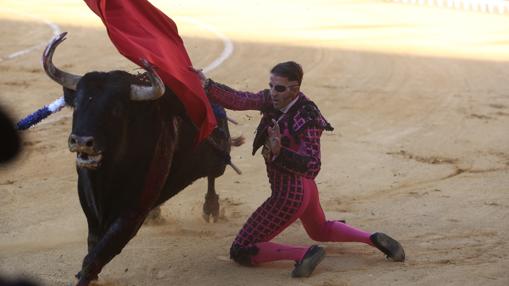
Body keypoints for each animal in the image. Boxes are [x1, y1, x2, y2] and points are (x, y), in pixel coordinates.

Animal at [42, 32, 241, 284]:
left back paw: (211, 209)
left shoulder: (132, 212)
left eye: (116, 109)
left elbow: (99, 253)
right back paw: (157, 214)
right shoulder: (87, 201)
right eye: (76, 104)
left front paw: (87, 276)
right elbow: (93, 243)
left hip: (217, 161)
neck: (107, 174)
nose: (81, 141)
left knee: (212, 178)